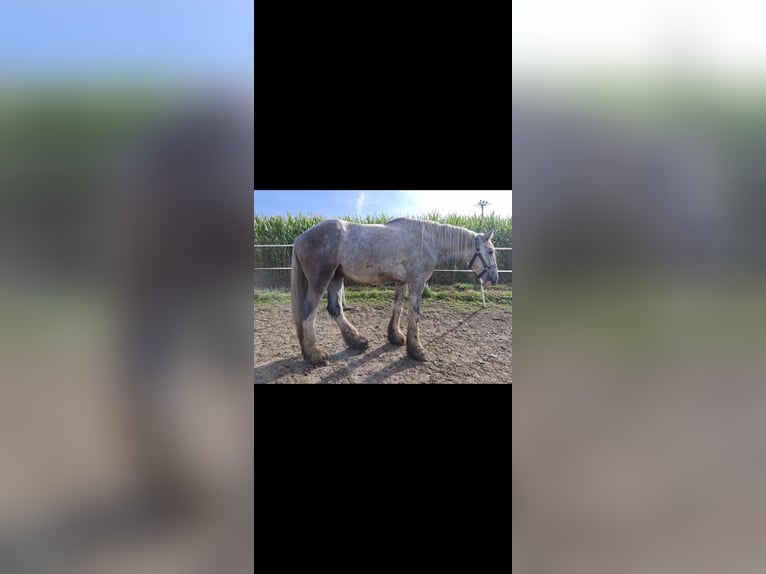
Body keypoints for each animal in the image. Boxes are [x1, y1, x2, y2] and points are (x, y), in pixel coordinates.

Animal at [290, 218, 498, 366]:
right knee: (308, 312)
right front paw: (417, 351)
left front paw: (395, 337)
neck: (427, 240)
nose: (494, 278)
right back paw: (316, 355)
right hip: (320, 280)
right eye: (490, 251)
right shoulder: (417, 283)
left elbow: (397, 307)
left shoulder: (401, 282)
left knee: (335, 309)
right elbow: (414, 314)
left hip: (335, 278)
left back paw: (357, 341)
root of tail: (299, 238)